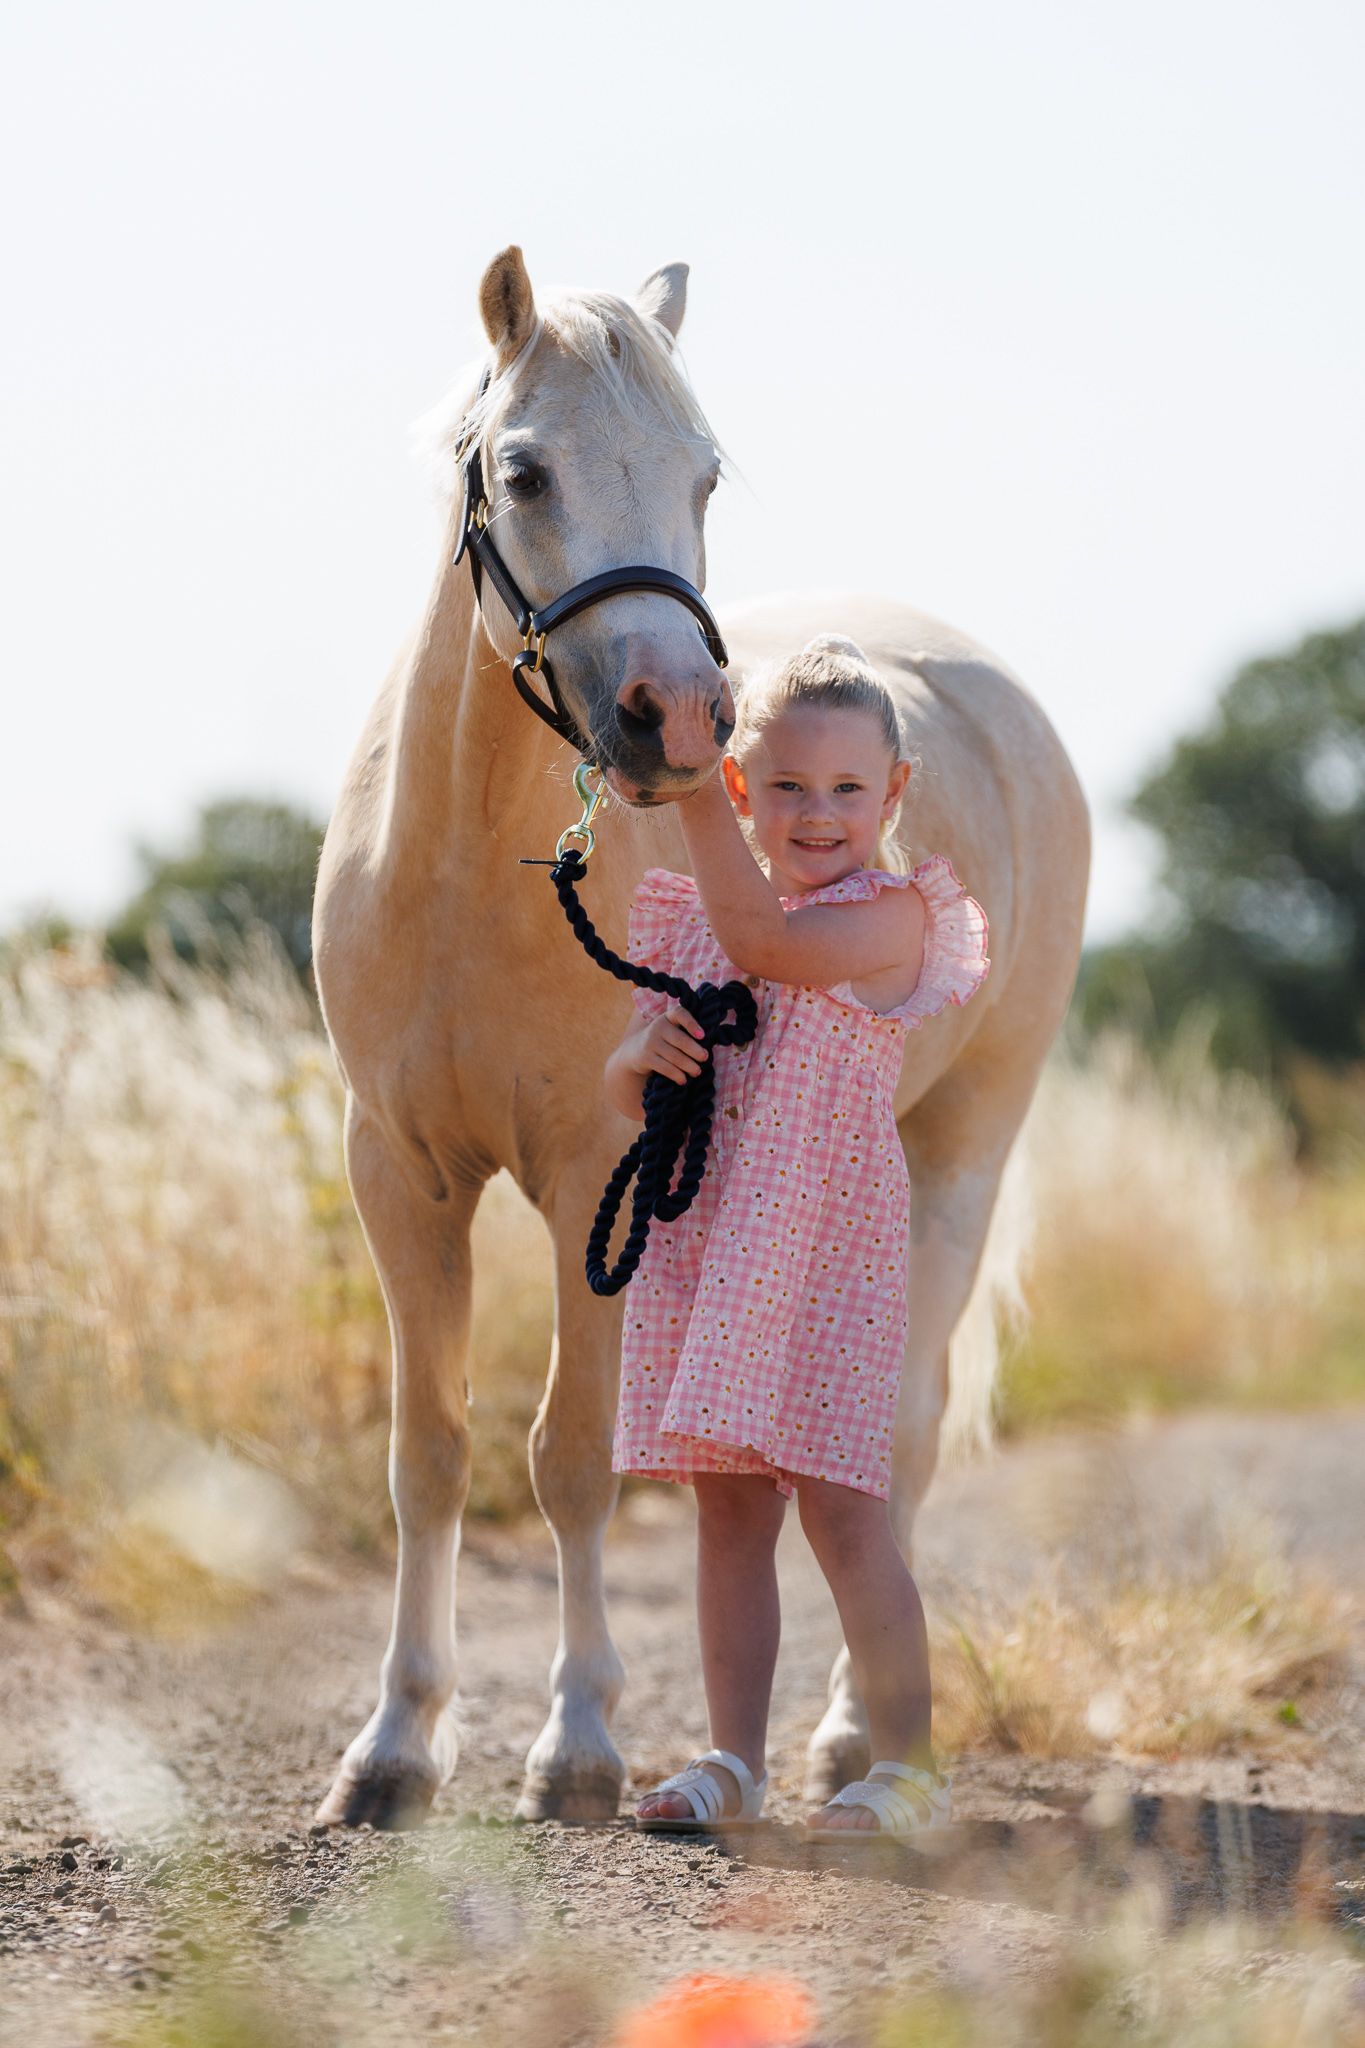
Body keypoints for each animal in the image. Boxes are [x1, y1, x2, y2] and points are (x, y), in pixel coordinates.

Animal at [311, 245, 1090, 1827]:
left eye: (704, 475)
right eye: (525, 469)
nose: (678, 718)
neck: (466, 874)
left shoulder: (592, 1174)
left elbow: (568, 1458)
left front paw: (576, 1748)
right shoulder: (398, 1177)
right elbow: (430, 1455)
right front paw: (394, 1748)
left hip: (962, 1150)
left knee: (897, 1435)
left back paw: (853, 1736)